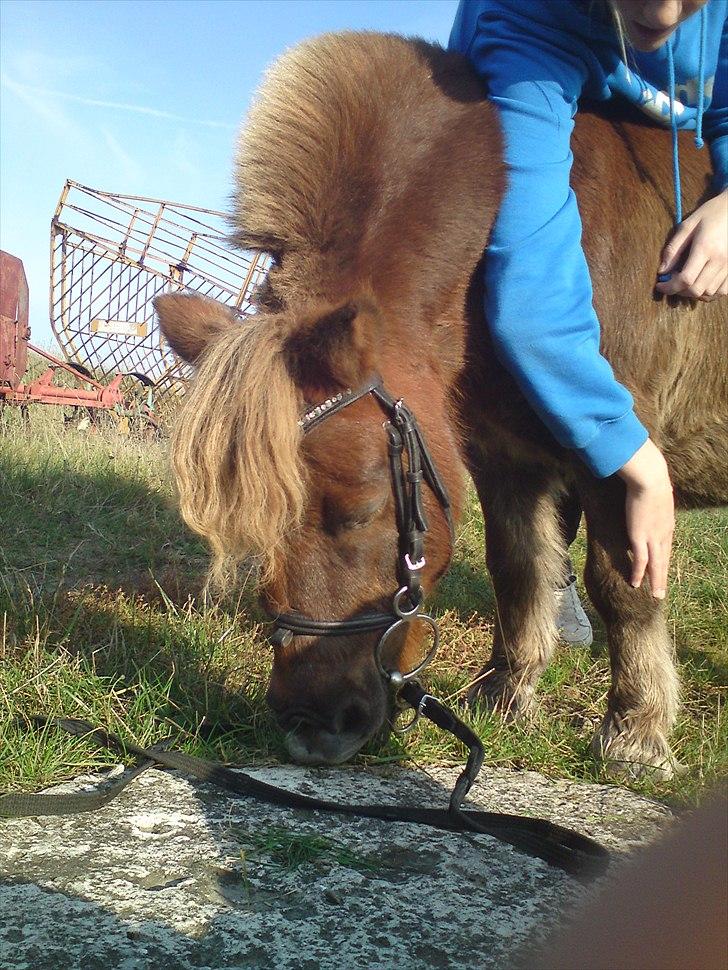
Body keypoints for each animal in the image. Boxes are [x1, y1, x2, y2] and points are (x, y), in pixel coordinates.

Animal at [156, 32, 724, 780]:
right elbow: (519, 568)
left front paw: (637, 732)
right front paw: (508, 693)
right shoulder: (506, 459)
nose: (310, 727)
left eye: (361, 509)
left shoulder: (616, 448)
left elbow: (621, 586)